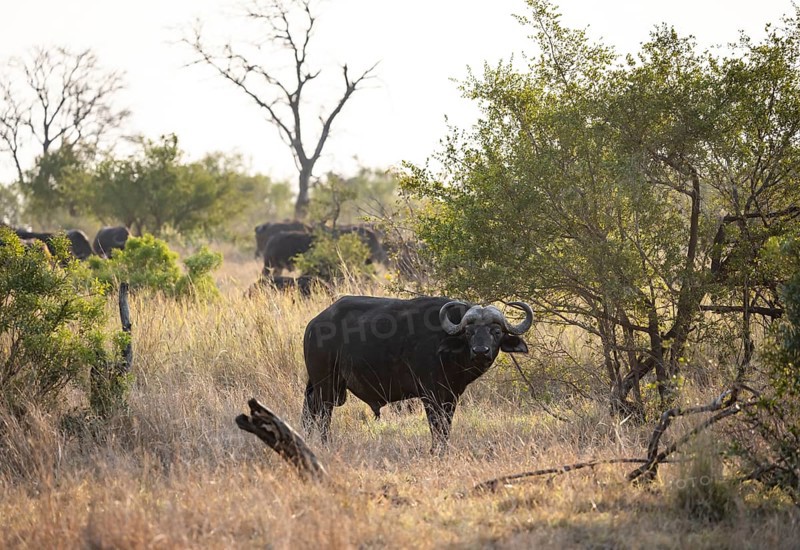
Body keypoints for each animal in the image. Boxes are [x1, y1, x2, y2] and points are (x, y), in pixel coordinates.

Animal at [302, 296, 534, 453]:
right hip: (326, 384)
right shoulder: (429, 394)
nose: (480, 351)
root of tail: (313, 325)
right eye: (469, 332)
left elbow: (446, 425)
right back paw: (325, 444)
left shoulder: (451, 396)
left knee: (309, 411)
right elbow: (436, 425)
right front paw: (435, 451)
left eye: (496, 332)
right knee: (323, 414)